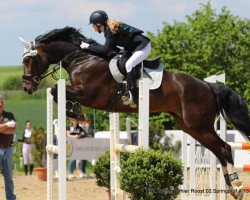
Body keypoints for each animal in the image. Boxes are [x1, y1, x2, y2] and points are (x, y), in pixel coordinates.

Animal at [20, 27, 250, 200]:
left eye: (28, 61)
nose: (26, 87)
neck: (83, 59)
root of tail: (208, 85)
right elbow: (55, 91)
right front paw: (74, 110)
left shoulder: (88, 95)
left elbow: (56, 90)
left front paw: (75, 112)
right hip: (190, 127)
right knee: (218, 151)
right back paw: (232, 188)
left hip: (198, 125)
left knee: (224, 148)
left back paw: (237, 186)